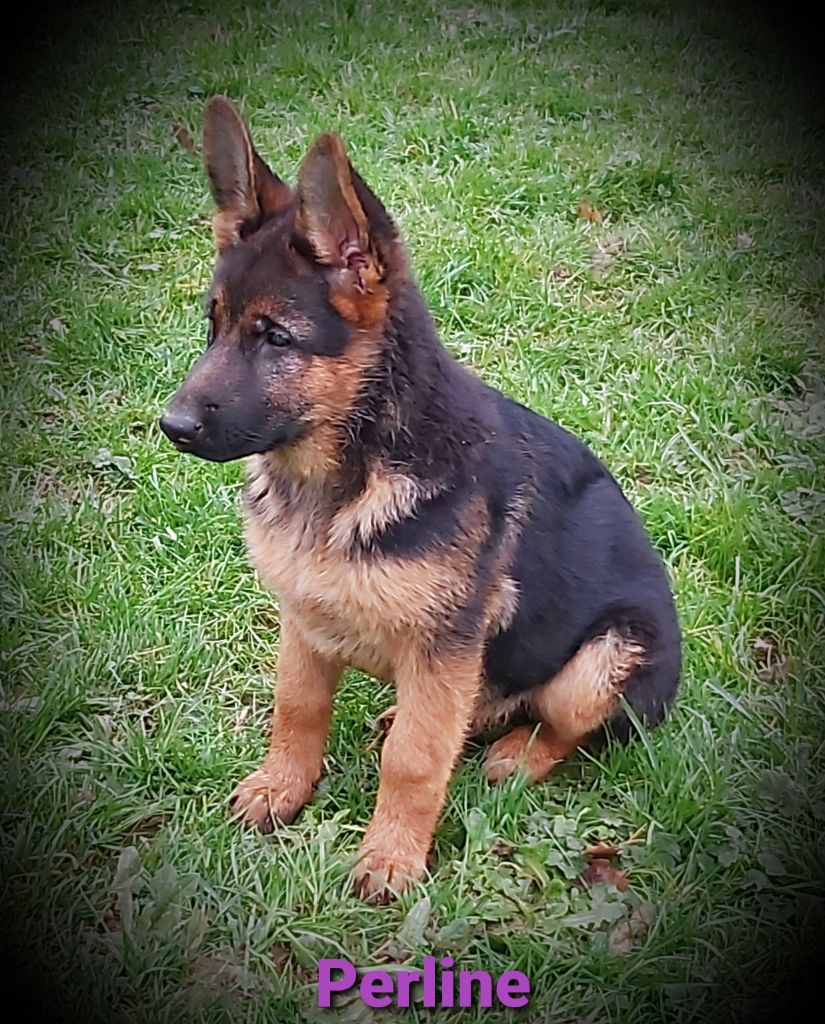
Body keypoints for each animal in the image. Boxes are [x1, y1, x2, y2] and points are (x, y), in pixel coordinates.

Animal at [161, 94, 683, 897]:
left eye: (275, 337)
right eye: (211, 327)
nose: (171, 426)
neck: (350, 474)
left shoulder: (445, 644)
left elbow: (412, 759)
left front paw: (390, 856)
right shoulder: (303, 620)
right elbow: (298, 707)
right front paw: (282, 787)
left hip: (606, 656)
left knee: (565, 728)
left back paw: (517, 754)